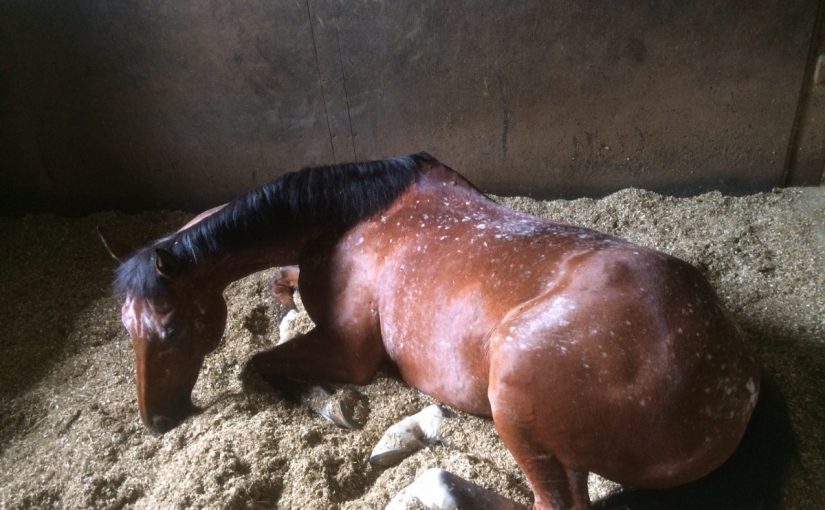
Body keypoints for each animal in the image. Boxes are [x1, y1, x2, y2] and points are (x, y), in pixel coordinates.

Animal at [99, 153, 761, 510]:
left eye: (173, 327)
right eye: (126, 326)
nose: (156, 421)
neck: (351, 214)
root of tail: (736, 387)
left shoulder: (348, 352)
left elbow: (257, 364)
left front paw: (331, 405)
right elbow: (279, 294)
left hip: (513, 396)